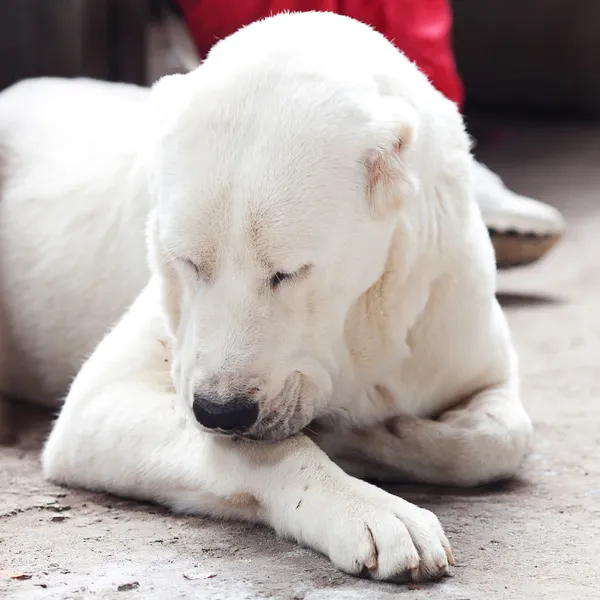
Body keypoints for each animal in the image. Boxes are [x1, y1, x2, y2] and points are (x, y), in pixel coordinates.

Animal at [0, 11, 536, 584]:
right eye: (187, 261)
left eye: (288, 273)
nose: (220, 410)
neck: (363, 318)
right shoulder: (106, 398)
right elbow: (259, 451)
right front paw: (369, 505)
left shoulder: (454, 321)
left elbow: (501, 438)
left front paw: (381, 435)